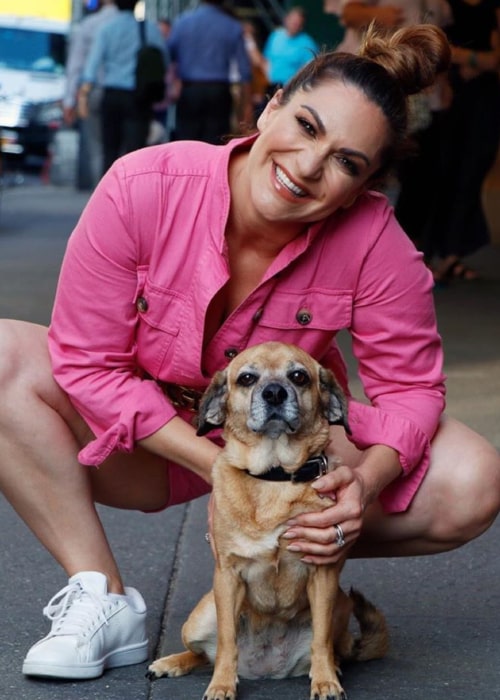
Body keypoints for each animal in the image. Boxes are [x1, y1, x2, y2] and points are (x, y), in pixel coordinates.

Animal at [146, 342, 388, 696]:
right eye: (247, 378)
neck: (275, 476)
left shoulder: (323, 575)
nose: (274, 393)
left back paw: (334, 667)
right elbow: (227, 641)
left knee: (331, 646)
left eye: (299, 376)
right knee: (204, 654)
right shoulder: (228, 577)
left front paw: (325, 680)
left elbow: (320, 641)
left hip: (341, 606)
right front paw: (221, 685)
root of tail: (266, 668)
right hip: (201, 617)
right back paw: (171, 663)